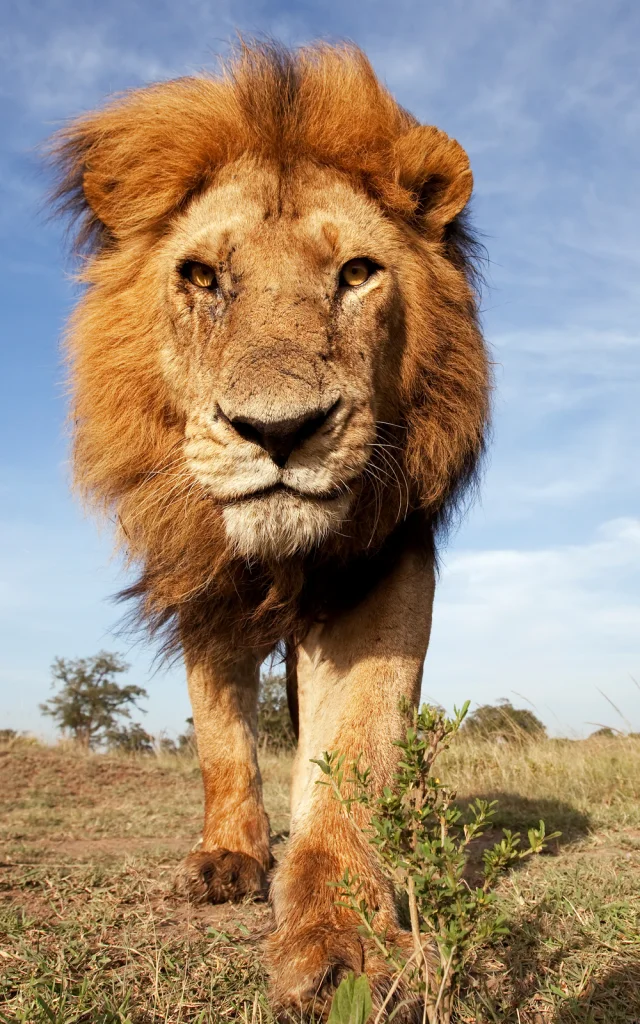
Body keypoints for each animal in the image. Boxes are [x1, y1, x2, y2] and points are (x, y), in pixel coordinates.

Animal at [49, 41, 490, 1017]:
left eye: (357, 273)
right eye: (201, 277)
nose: (280, 431)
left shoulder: (384, 568)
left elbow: (358, 751)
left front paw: (343, 941)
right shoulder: (202, 588)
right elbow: (222, 738)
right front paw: (229, 858)